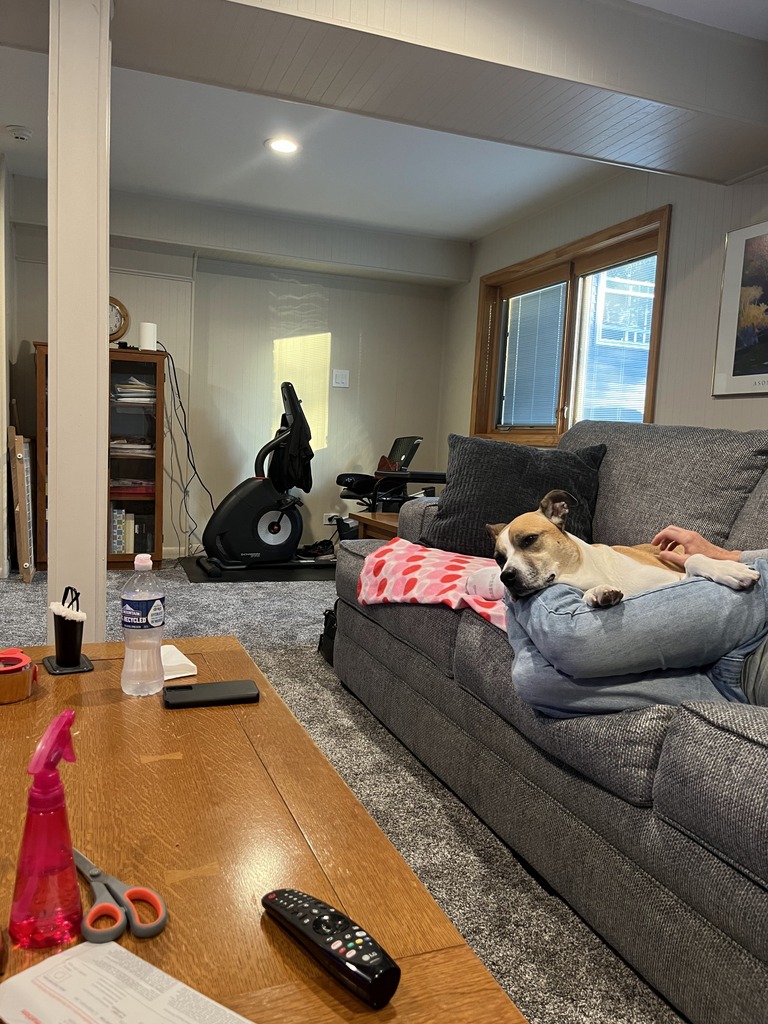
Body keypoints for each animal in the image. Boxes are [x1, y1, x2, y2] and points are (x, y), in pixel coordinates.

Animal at [488, 489, 759, 607]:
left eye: (529, 539)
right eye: (499, 558)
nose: (506, 576)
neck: (584, 573)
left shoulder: (678, 575)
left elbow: (695, 560)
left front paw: (731, 570)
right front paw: (598, 594)